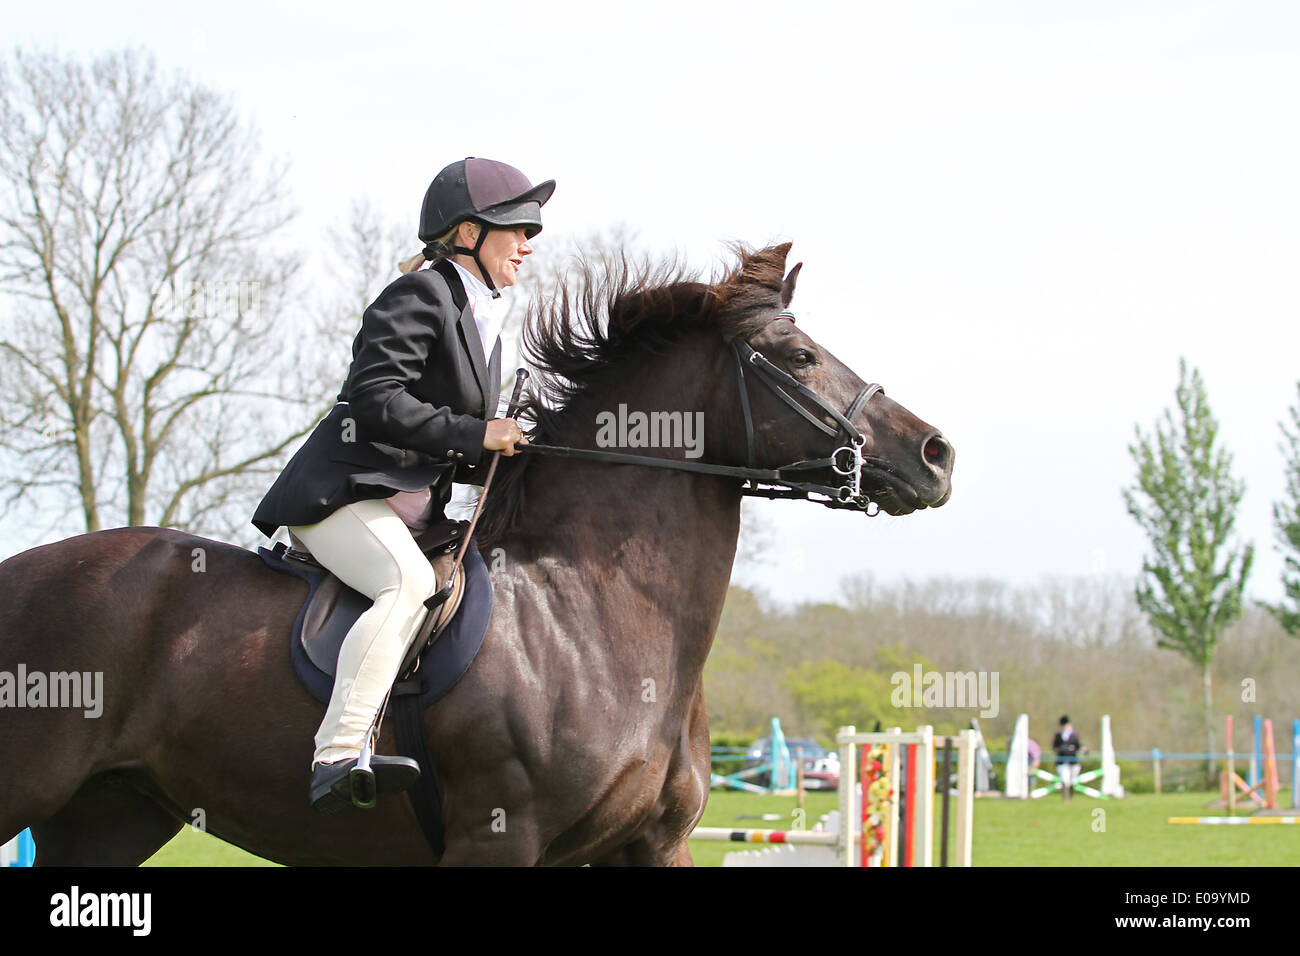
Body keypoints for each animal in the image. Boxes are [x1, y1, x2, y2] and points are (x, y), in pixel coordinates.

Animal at [0, 242, 953, 865]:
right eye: (799, 356)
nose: (936, 454)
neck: (596, 612)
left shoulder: (653, 847)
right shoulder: (502, 837)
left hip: (109, 815)